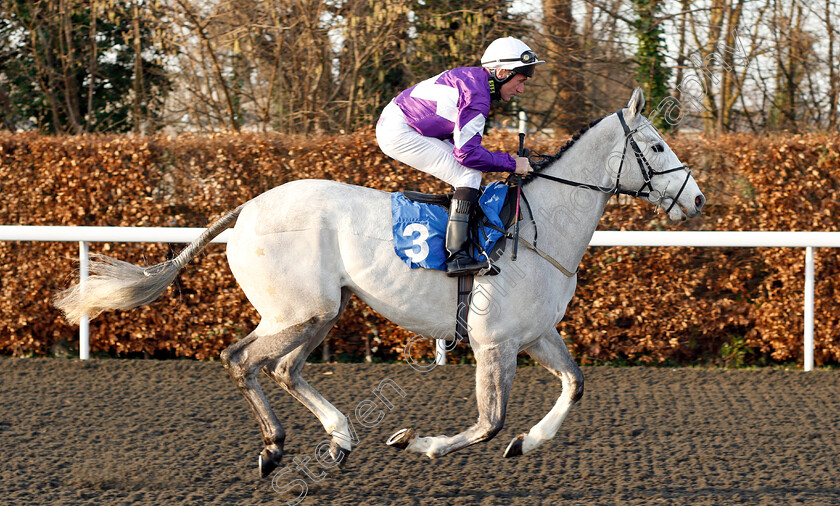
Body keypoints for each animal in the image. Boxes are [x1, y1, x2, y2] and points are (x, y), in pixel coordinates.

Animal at [55, 88, 704, 478]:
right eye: (654, 145)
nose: (696, 199)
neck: (539, 225)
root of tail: (244, 210)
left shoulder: (535, 334)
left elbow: (574, 385)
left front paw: (528, 442)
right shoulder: (493, 342)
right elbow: (487, 423)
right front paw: (415, 442)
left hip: (324, 310)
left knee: (282, 368)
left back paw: (337, 437)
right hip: (301, 309)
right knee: (242, 359)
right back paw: (278, 446)